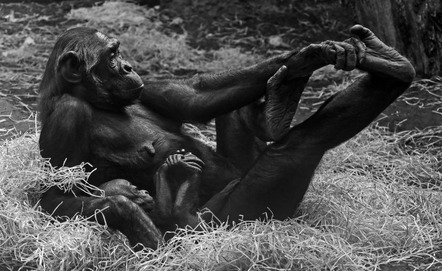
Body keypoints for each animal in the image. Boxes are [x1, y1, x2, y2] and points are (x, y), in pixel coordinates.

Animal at [38, 24, 414, 250]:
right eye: (111, 56)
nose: (129, 66)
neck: (96, 100)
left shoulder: (150, 89)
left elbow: (195, 96)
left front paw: (310, 55)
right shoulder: (67, 116)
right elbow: (53, 196)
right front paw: (128, 211)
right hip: (242, 212)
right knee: (300, 146)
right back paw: (179, 207)